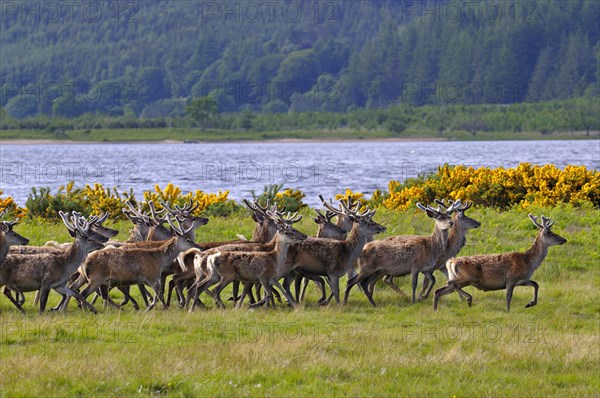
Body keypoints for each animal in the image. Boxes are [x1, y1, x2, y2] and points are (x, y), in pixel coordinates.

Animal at [432, 215, 568, 310]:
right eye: (550, 233)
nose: (564, 239)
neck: (528, 263)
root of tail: (450, 261)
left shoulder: (522, 279)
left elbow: (536, 284)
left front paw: (530, 303)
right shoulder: (511, 279)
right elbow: (508, 297)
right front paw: (508, 311)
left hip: (462, 280)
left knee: (439, 290)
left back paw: (436, 309)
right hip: (467, 277)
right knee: (449, 283)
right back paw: (469, 299)